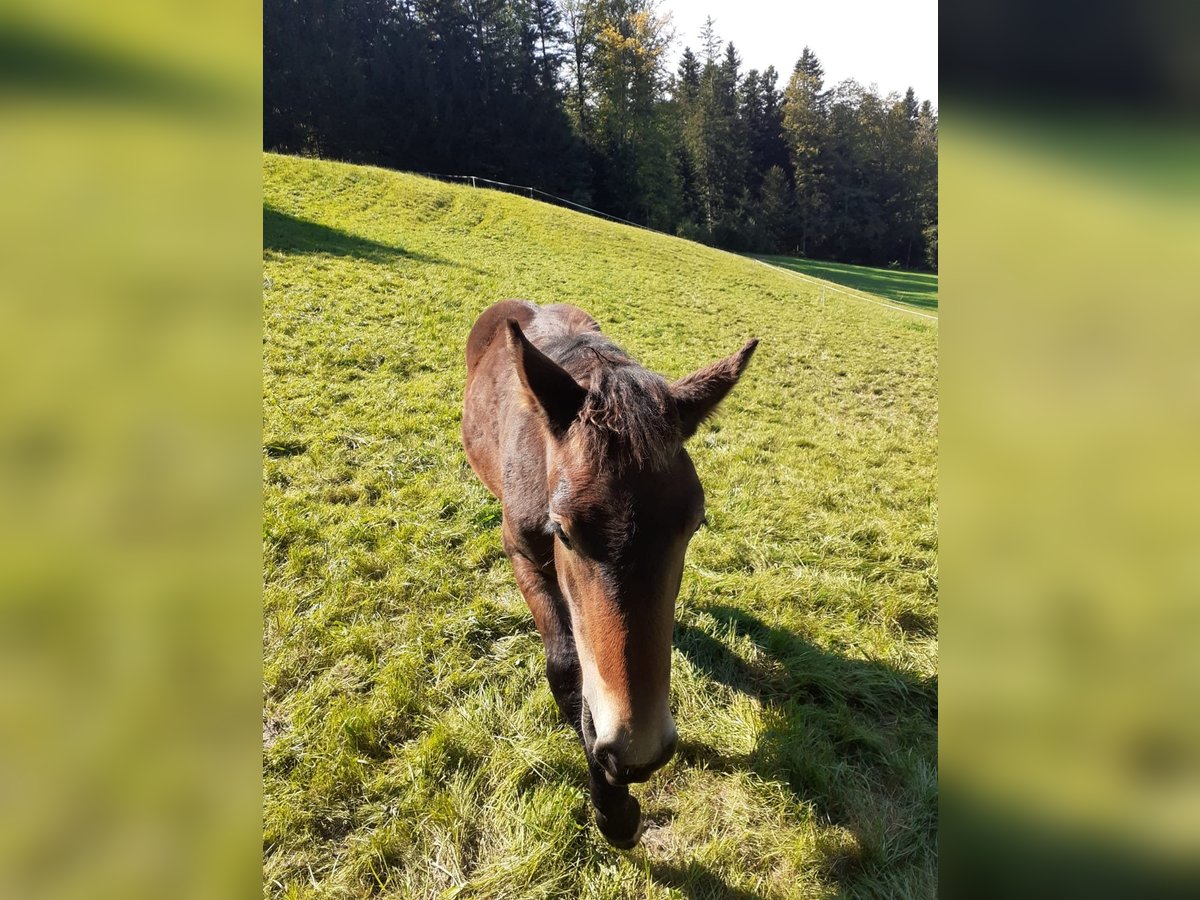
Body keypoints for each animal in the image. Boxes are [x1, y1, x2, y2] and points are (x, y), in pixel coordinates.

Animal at [460, 300, 758, 849]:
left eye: (695, 523)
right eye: (563, 529)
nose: (638, 750)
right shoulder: (523, 553)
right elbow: (567, 668)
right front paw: (612, 808)